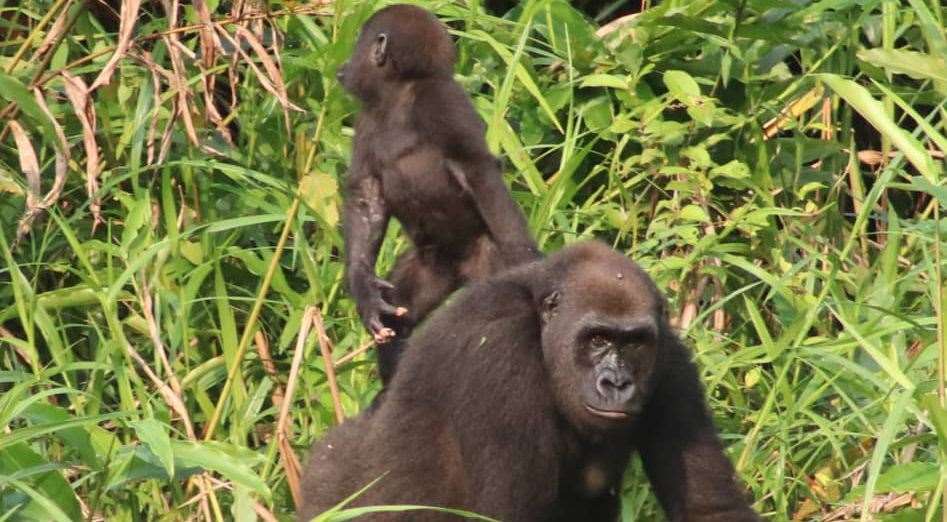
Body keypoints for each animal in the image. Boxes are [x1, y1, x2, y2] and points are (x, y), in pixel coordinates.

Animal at [300, 241, 760, 520]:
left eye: (634, 343)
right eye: (597, 339)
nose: (616, 383)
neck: (541, 325)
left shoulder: (671, 360)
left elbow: (710, 509)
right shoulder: (501, 356)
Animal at [336, 2, 536, 380]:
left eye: (358, 44)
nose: (342, 67)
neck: (400, 90)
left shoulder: (441, 99)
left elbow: (477, 168)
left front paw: (529, 262)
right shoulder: (366, 118)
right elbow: (366, 195)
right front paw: (362, 286)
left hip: (487, 261)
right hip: (431, 266)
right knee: (402, 316)